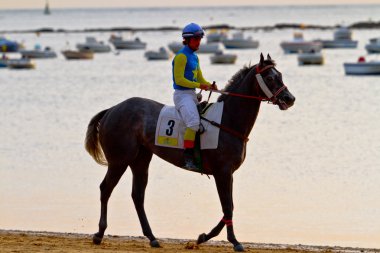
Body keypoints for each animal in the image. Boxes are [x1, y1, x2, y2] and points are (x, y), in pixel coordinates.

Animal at [84, 53, 296, 251]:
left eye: (280, 75)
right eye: (270, 77)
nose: (290, 98)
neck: (227, 120)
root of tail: (112, 109)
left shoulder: (228, 174)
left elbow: (230, 207)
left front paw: (203, 237)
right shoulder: (222, 172)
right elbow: (227, 206)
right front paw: (234, 241)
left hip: (141, 159)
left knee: (138, 195)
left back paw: (152, 237)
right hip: (119, 160)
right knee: (106, 188)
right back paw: (99, 234)